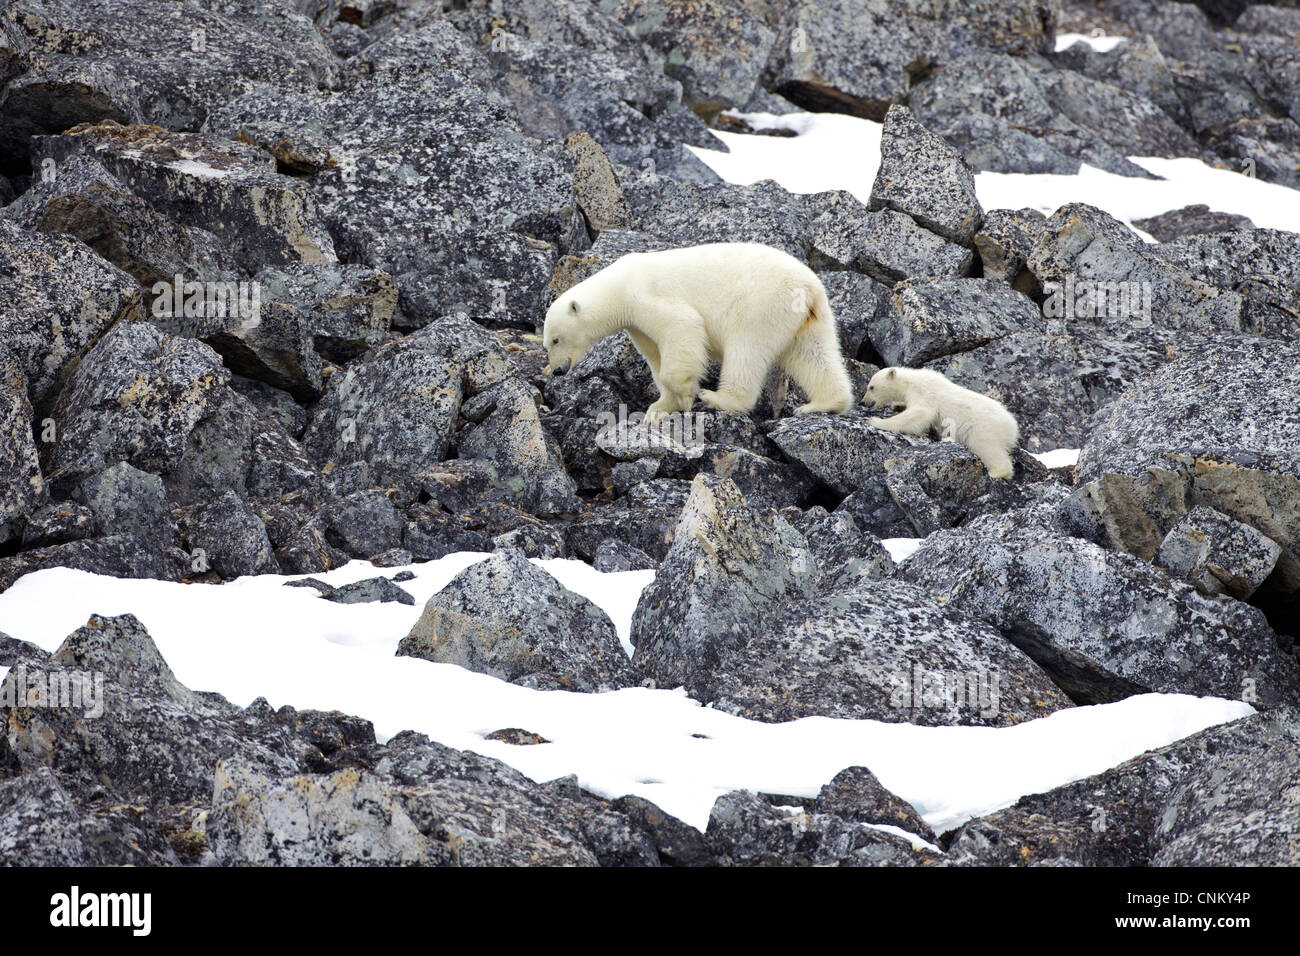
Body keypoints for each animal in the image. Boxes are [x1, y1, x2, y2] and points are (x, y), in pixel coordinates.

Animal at [543, 240, 857, 421]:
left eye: (556, 339)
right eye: (547, 345)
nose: (557, 370)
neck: (620, 285)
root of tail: (808, 288)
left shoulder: (648, 296)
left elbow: (682, 326)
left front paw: (685, 395)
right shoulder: (637, 324)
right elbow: (655, 356)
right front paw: (660, 407)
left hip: (762, 305)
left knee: (746, 351)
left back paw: (719, 398)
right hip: (808, 318)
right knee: (814, 355)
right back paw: (822, 404)